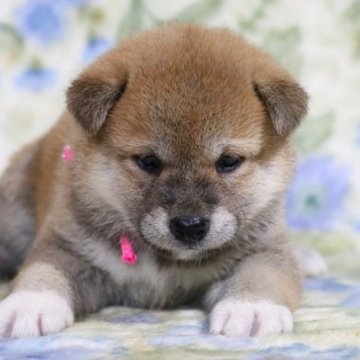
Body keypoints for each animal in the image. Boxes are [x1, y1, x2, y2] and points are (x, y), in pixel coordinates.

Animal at [0, 24, 310, 338]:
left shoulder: (265, 249)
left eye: (229, 161)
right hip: (14, 218)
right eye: (148, 161)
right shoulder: (67, 246)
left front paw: (251, 308)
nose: (189, 226)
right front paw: (30, 304)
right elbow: (43, 269)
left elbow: (261, 274)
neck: (164, 260)